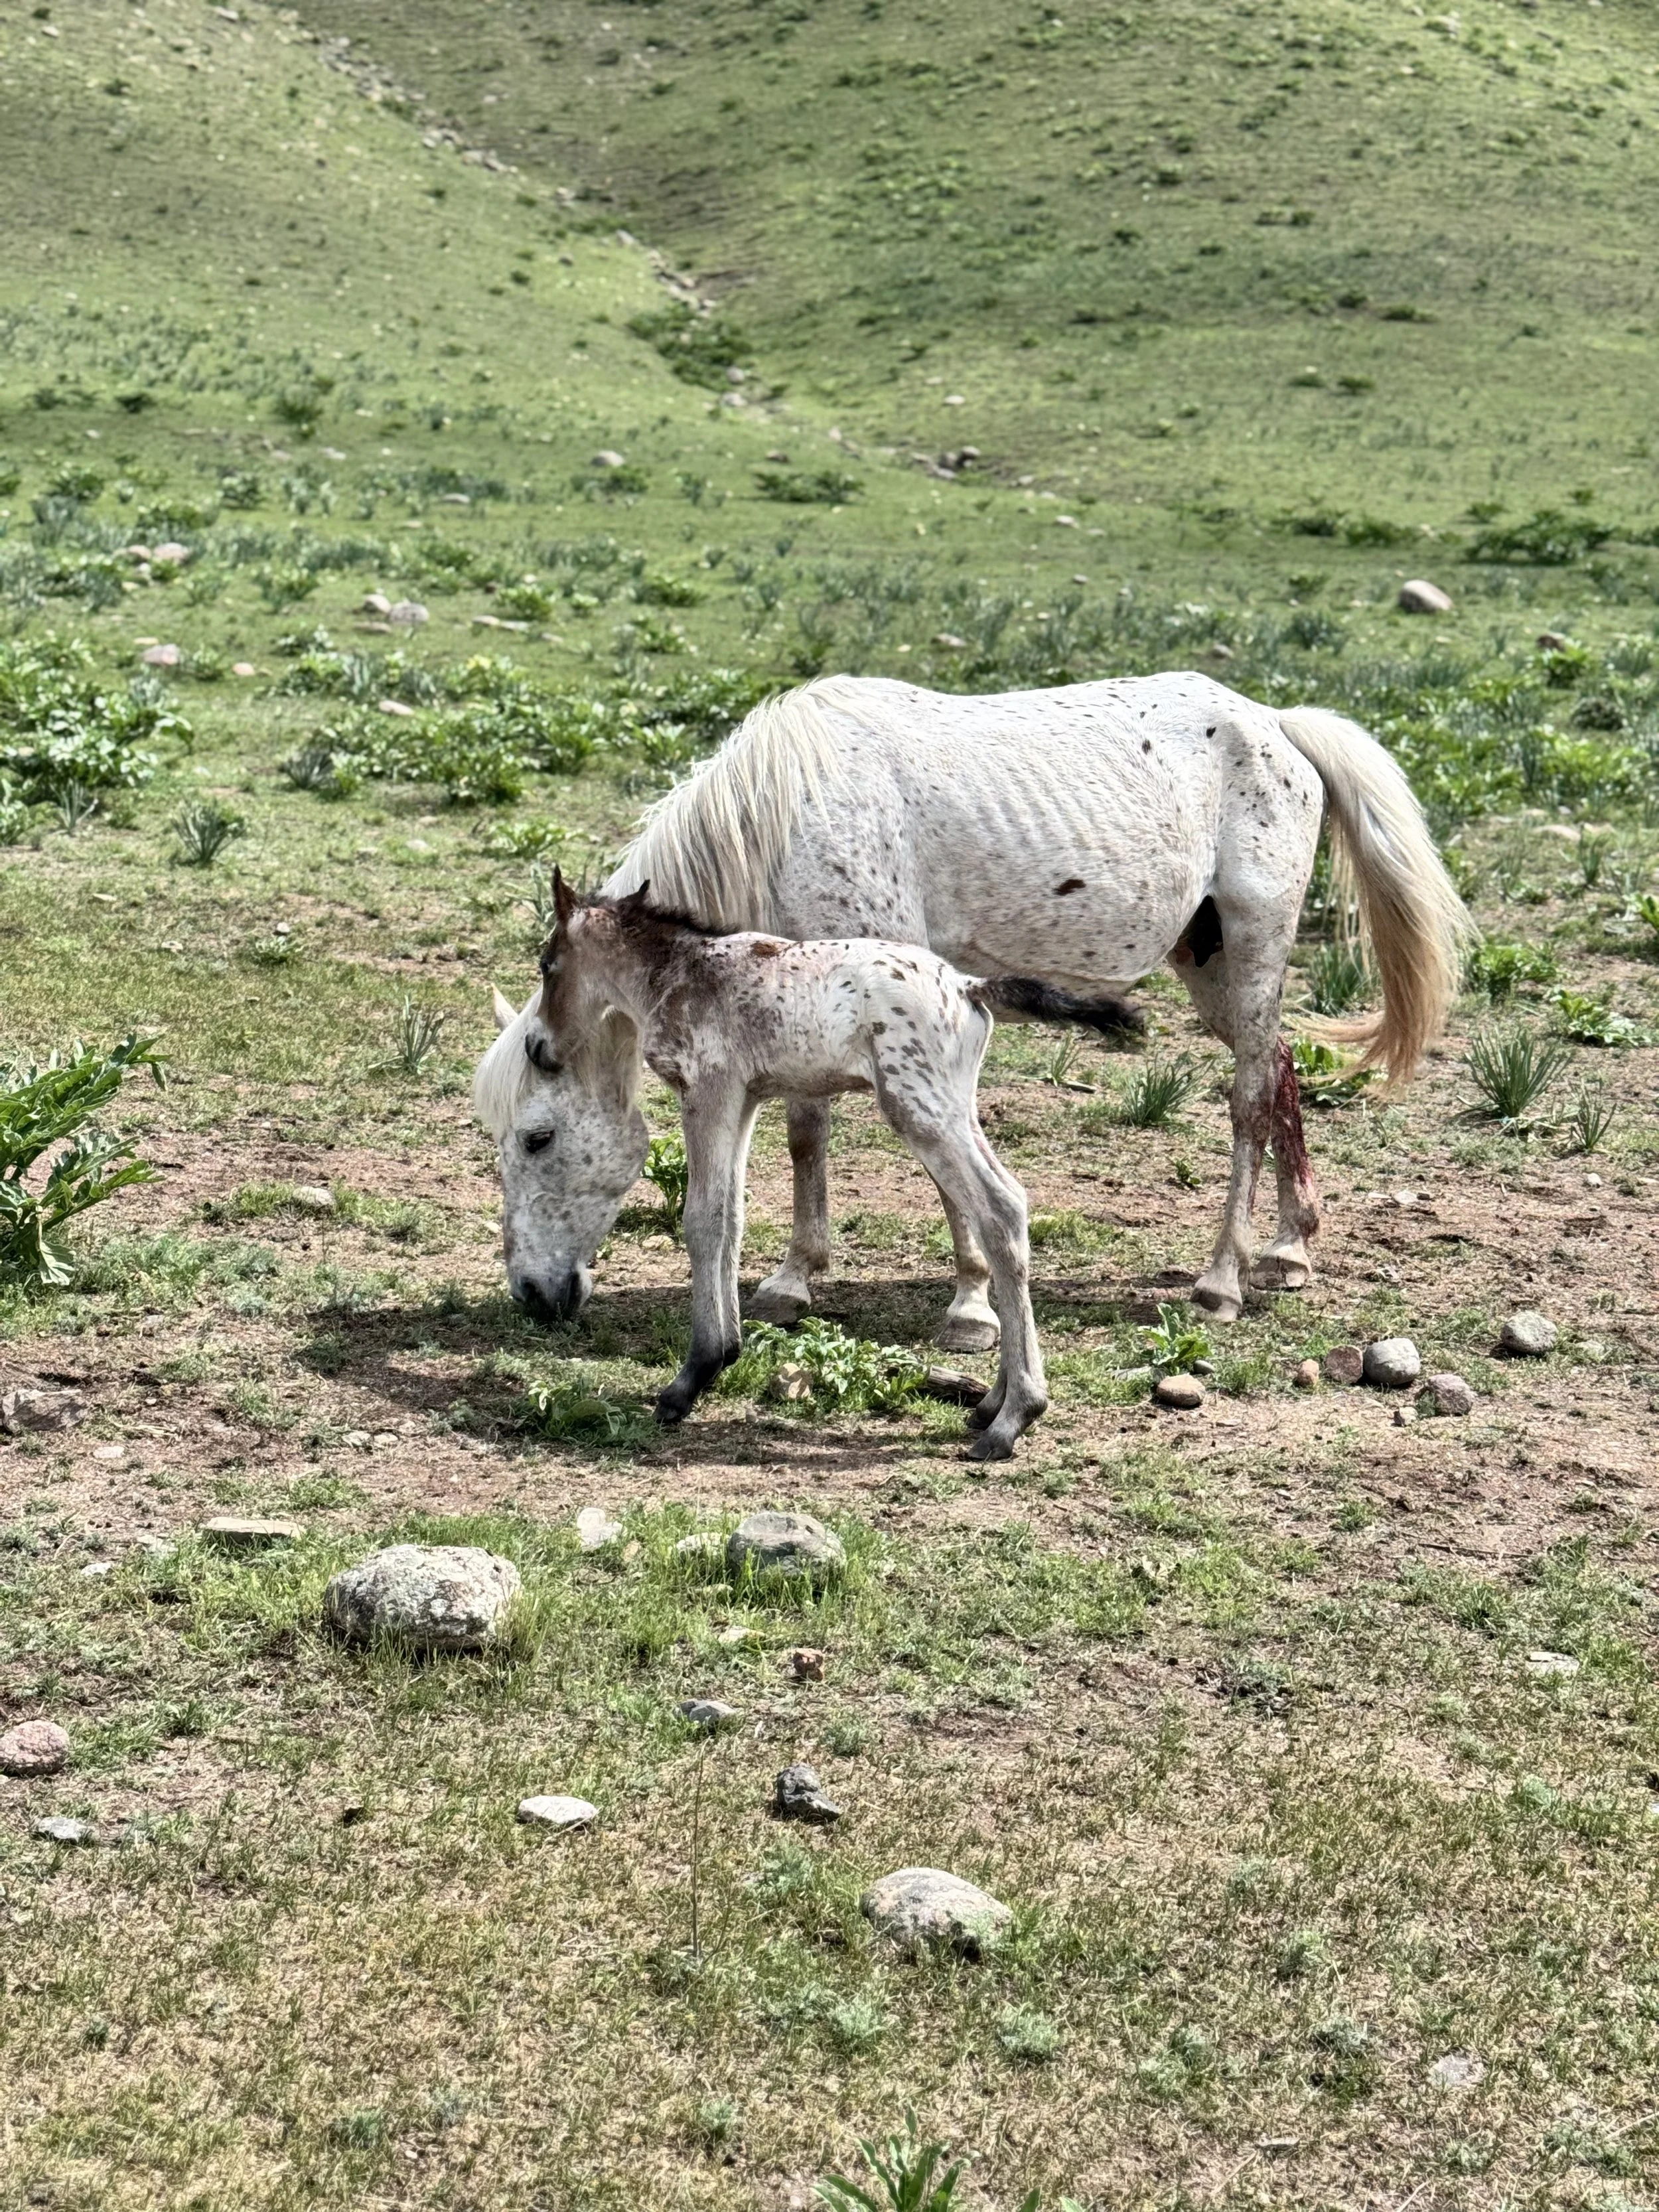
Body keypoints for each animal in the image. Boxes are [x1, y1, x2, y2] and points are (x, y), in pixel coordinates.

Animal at [476, 672, 1466, 1336]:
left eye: (537, 1139)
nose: (532, 1294)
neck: (786, 817)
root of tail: (1279, 726)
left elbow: (938, 1161)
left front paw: (967, 1301)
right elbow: (806, 1135)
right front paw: (795, 1279)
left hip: (1253, 953)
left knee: (1250, 1098)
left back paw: (1224, 1278)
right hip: (1212, 963)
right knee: (1282, 1067)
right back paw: (1292, 1248)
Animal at [497, 872, 1142, 1456]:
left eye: (547, 965)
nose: (538, 1047)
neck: (683, 972)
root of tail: (969, 986)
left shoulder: (709, 1091)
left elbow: (702, 1219)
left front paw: (690, 1378)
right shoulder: (746, 1098)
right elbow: (731, 1218)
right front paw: (725, 1354)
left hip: (920, 1107)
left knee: (1000, 1209)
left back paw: (1014, 1417)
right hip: (954, 1108)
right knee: (1012, 1201)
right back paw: (990, 1404)